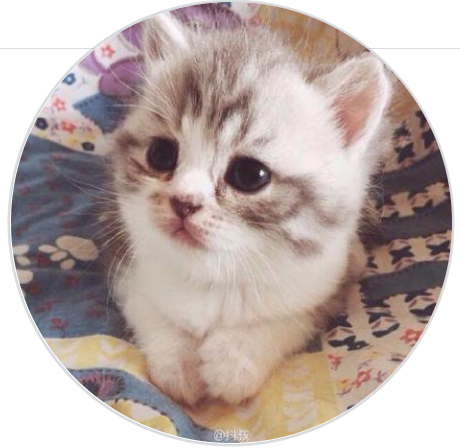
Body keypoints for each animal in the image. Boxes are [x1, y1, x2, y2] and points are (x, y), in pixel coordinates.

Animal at [101, 12, 392, 406]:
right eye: (161, 154)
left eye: (250, 175)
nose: (183, 202)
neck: (214, 278)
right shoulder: (123, 262)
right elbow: (147, 308)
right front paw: (178, 362)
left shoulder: (330, 283)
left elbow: (292, 318)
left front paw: (233, 361)